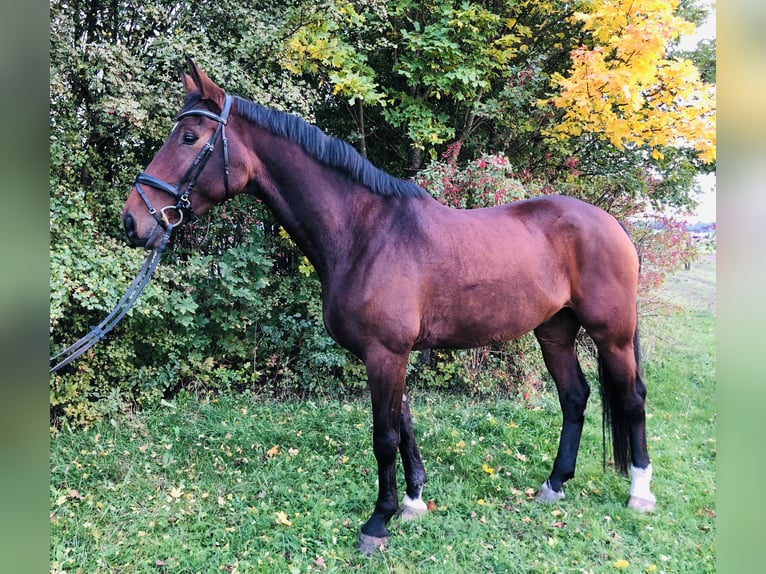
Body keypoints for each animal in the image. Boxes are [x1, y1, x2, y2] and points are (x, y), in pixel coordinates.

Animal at [123, 58, 656, 552]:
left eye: (189, 137)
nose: (133, 221)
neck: (365, 233)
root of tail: (611, 223)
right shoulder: (388, 355)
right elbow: (404, 426)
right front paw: (414, 502)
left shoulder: (385, 353)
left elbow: (384, 437)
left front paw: (377, 522)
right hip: (555, 331)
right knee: (575, 397)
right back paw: (554, 483)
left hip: (611, 335)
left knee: (631, 399)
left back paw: (640, 492)